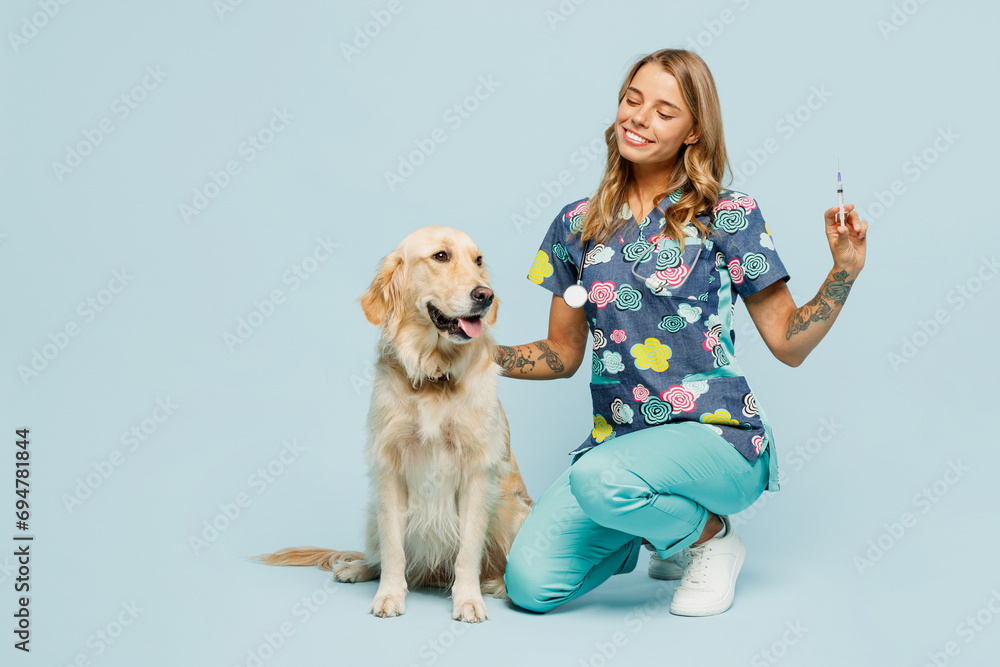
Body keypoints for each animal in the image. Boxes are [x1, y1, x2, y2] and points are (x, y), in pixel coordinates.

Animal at [254, 227, 536, 624]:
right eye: (440, 256)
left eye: (478, 260)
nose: (486, 295)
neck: (434, 373)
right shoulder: (389, 468)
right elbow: (392, 548)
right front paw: (389, 595)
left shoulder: (477, 473)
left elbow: (468, 551)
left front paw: (468, 599)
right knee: (377, 554)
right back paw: (357, 568)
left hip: (513, 510)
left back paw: (496, 585)